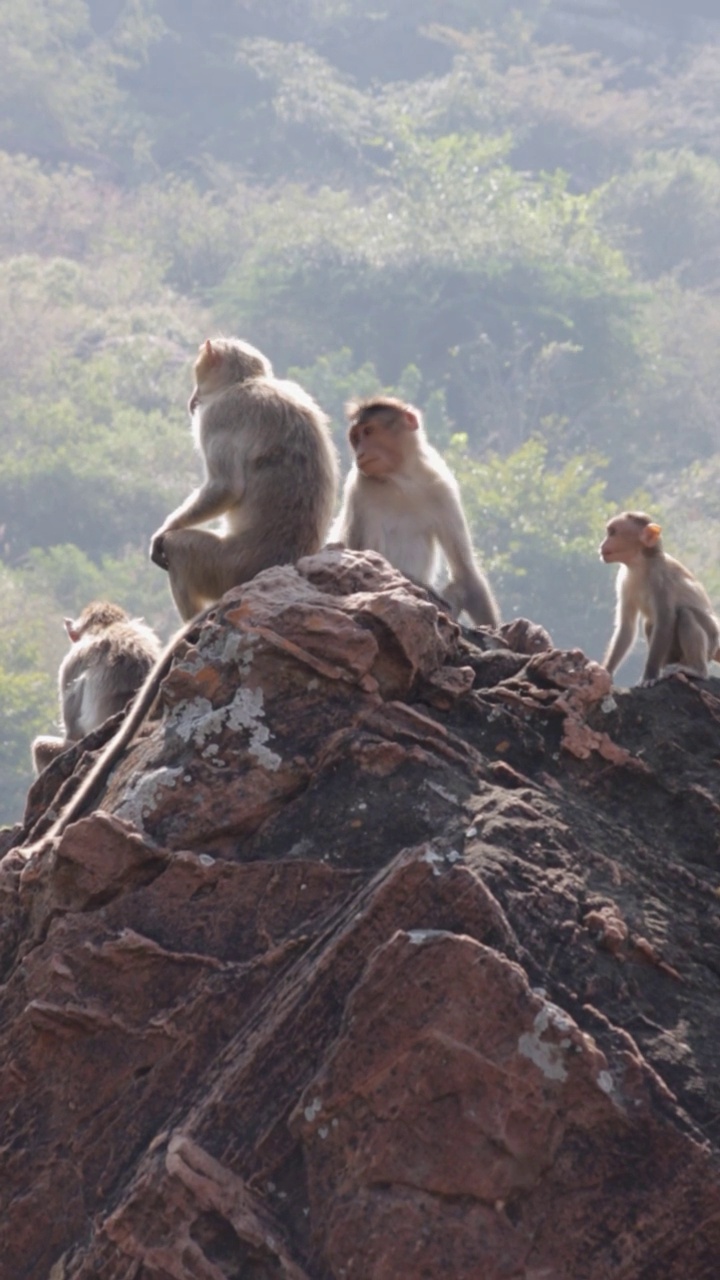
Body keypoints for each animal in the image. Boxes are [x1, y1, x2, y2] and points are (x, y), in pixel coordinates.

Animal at [149, 337, 338, 622]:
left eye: (198, 374)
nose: (193, 399)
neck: (245, 381)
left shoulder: (217, 415)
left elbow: (226, 487)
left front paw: (164, 531)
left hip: (227, 567)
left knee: (178, 550)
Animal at [330, 391, 499, 627]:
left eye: (368, 431)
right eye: (356, 438)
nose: (360, 453)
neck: (402, 480)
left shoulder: (442, 487)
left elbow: (465, 574)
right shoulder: (359, 489)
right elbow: (366, 557)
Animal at [594, 512, 717, 691]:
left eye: (613, 532)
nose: (601, 544)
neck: (640, 563)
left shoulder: (660, 579)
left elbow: (665, 621)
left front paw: (649, 676)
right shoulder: (623, 580)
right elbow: (627, 627)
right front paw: (605, 671)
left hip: (712, 640)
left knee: (686, 615)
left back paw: (696, 670)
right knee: (650, 623)